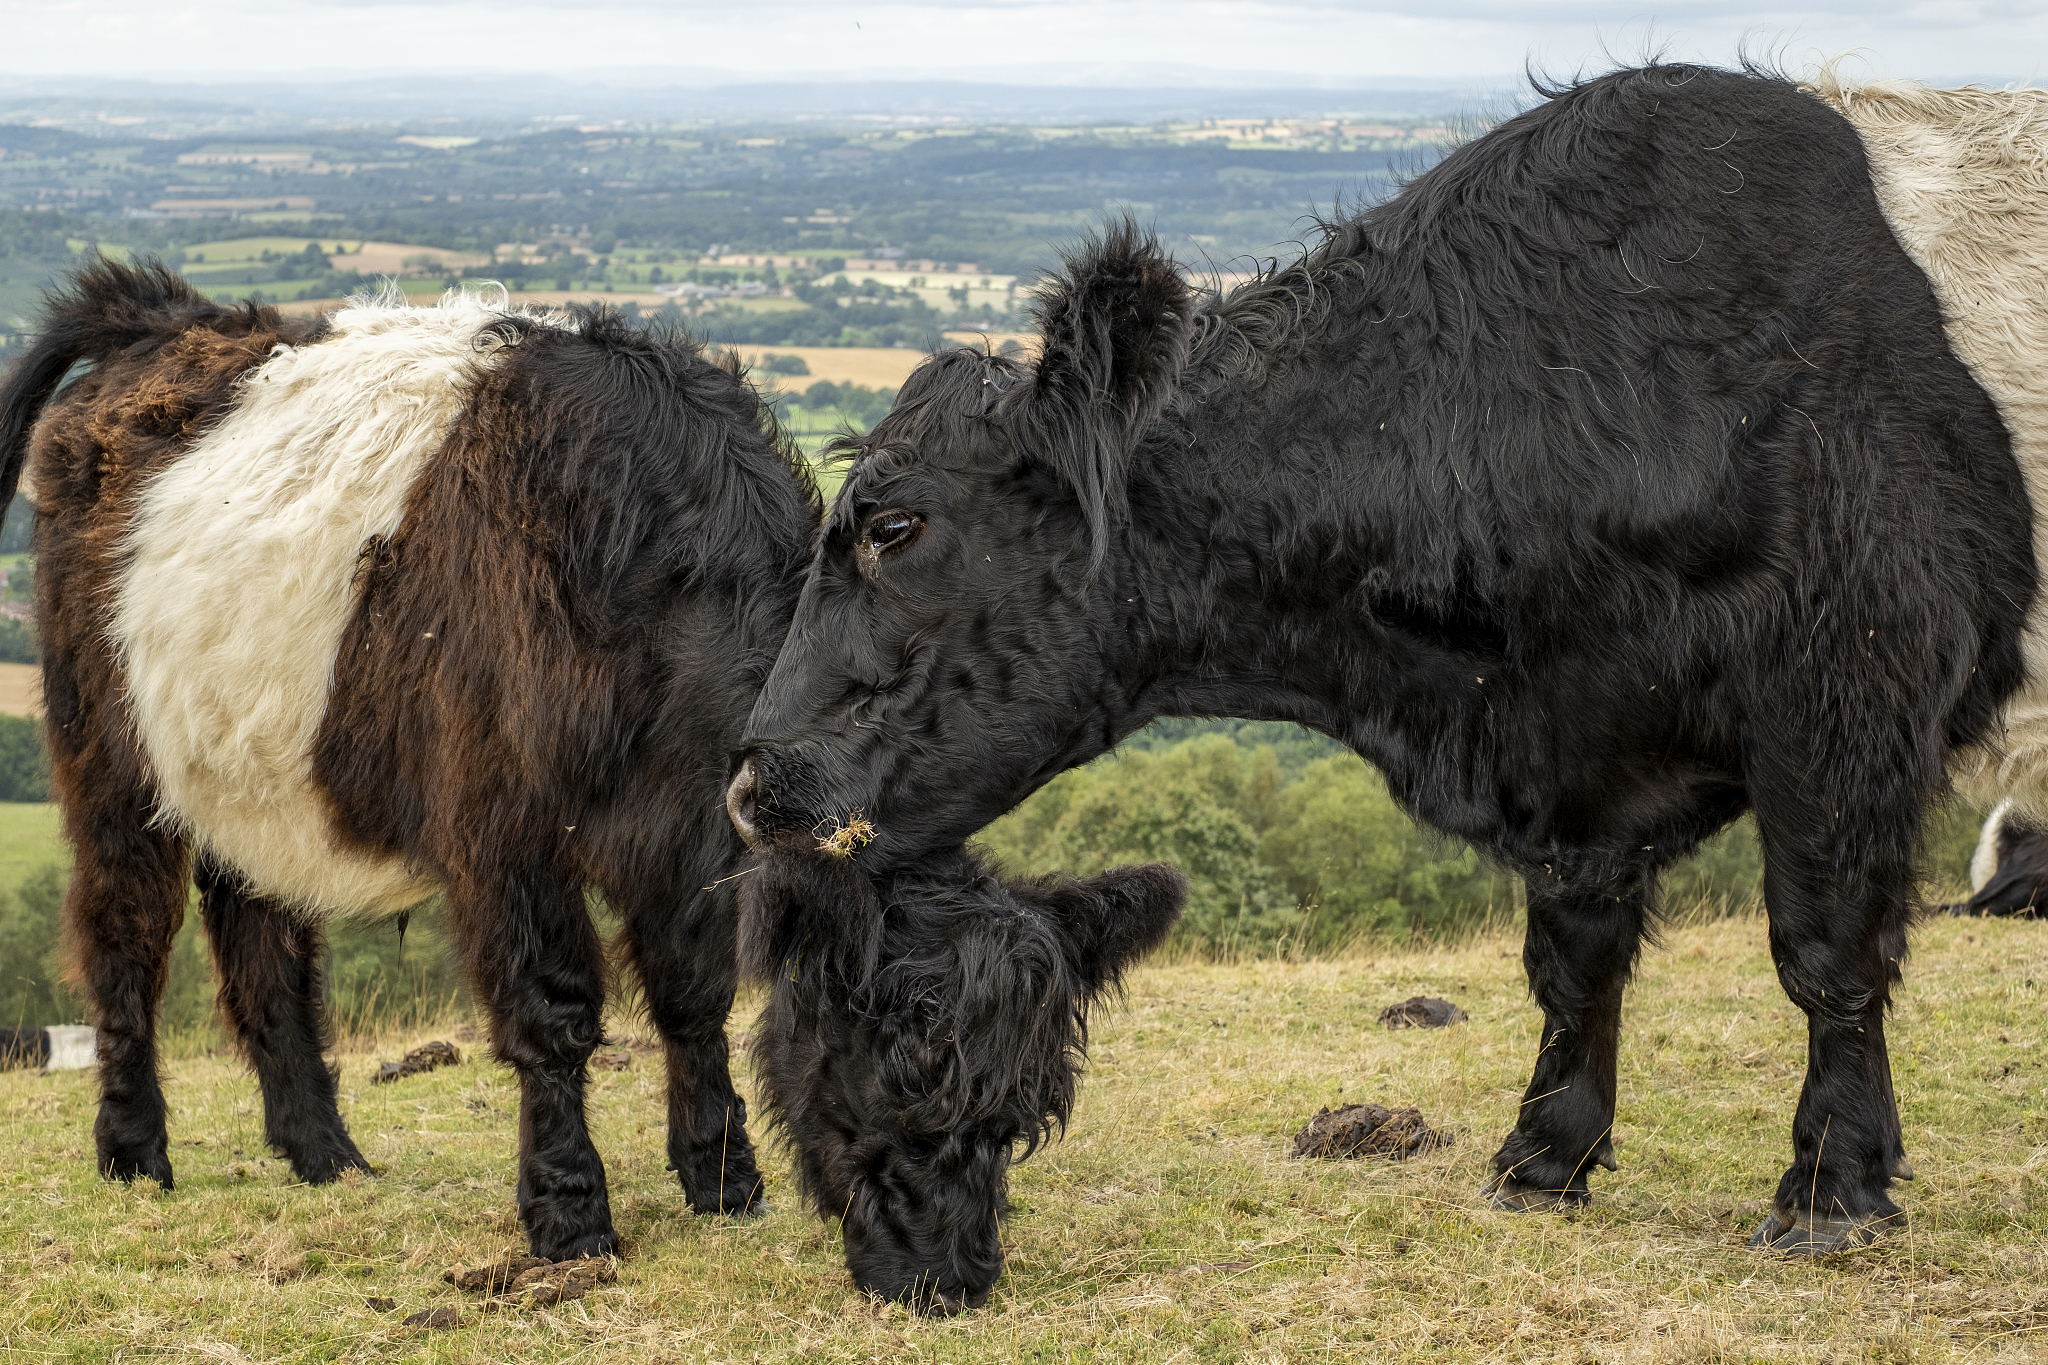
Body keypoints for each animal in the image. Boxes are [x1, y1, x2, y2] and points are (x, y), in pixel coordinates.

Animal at [0, 259, 820, 1260]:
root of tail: (155, 320)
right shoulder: (502, 833)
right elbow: (552, 1010)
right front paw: (569, 1212)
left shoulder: (683, 845)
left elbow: (693, 995)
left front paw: (724, 1179)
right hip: (114, 762)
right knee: (124, 933)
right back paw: (133, 1151)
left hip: (252, 768)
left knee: (263, 947)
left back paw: (324, 1151)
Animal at [723, 64, 2042, 1256]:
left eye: (895, 527)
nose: (752, 784)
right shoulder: (1578, 749)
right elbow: (1573, 959)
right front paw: (1543, 1157)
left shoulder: (1846, 691)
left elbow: (1824, 952)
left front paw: (1829, 1188)